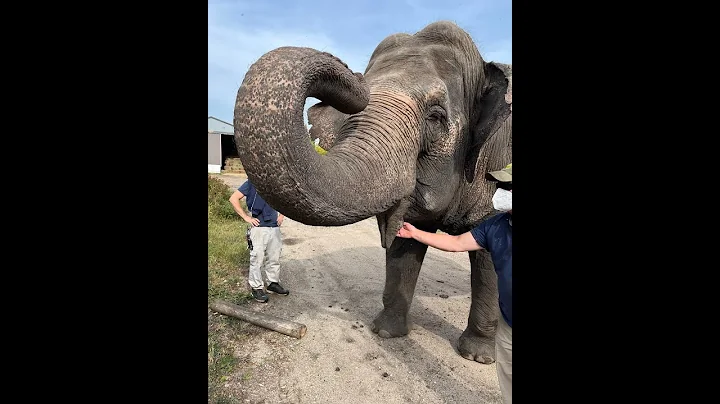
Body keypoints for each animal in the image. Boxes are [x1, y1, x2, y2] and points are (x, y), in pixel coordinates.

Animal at [233, 20, 511, 364]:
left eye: (436, 116)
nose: (353, 75)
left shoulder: (496, 163)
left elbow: (489, 256)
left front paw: (477, 356)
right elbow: (405, 247)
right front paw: (386, 333)